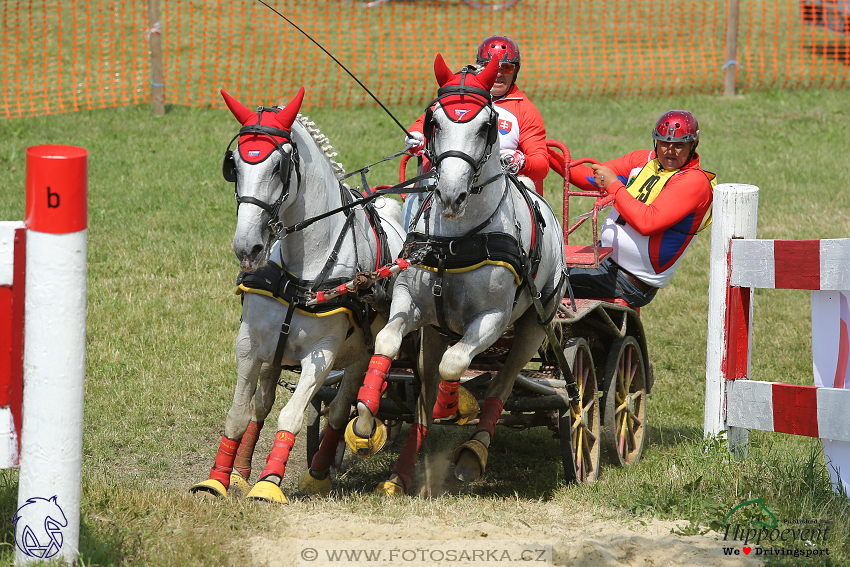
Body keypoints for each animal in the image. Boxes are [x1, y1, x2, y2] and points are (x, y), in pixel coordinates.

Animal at [191, 86, 404, 504]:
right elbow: (239, 413)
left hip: (361, 356)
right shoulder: (249, 345)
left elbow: (292, 414)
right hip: (275, 354)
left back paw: (318, 474)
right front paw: (218, 480)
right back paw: (241, 472)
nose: (248, 247)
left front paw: (269, 483)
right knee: (262, 404)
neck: (301, 271)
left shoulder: (321, 355)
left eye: (278, 167)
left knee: (339, 411)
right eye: (234, 165)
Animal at [342, 55, 568, 494]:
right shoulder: (410, 304)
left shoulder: (493, 318)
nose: (450, 194)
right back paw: (399, 476)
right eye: (434, 121)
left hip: (534, 324)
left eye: (486, 124)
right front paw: (364, 420)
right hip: (433, 331)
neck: (457, 239)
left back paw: (472, 454)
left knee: (501, 386)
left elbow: (457, 364)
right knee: (423, 399)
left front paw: (456, 406)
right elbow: (387, 343)